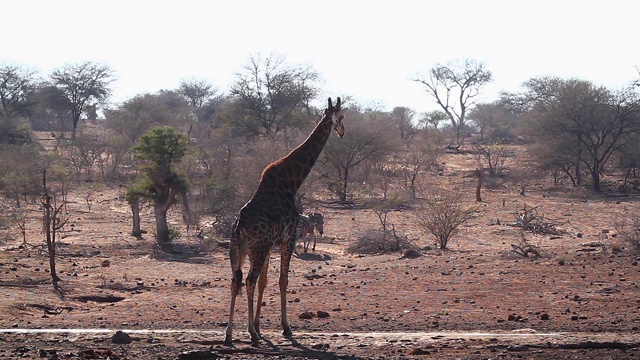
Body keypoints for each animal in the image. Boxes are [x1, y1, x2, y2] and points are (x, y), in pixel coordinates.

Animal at [225, 97, 344, 344]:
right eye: (342, 116)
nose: (343, 132)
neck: (292, 182)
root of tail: (239, 226)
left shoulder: (272, 245)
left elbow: (265, 282)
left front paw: (259, 326)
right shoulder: (288, 239)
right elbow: (282, 280)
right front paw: (285, 328)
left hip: (239, 249)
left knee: (235, 281)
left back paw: (229, 334)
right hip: (256, 247)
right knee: (248, 280)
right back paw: (250, 334)